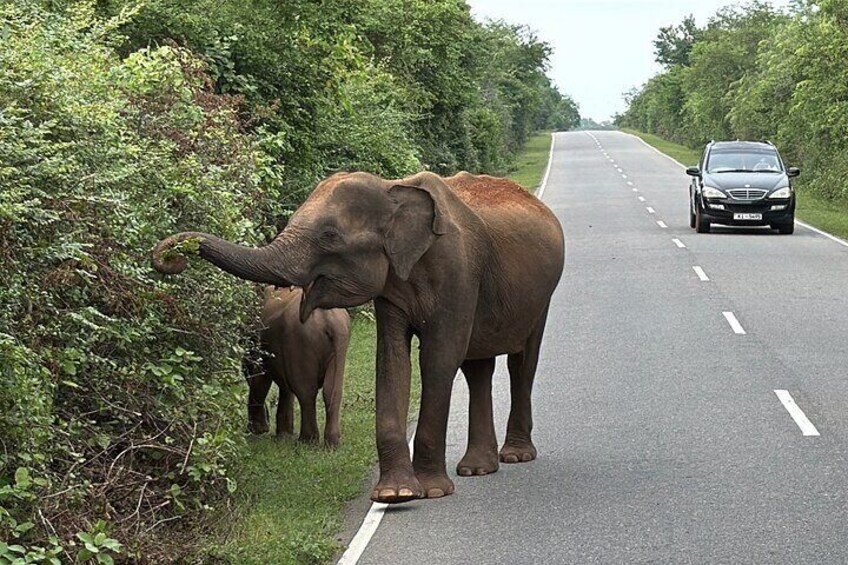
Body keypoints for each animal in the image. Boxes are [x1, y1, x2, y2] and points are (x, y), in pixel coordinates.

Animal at [243, 285, 350, 447]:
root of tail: (328, 319)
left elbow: (261, 376)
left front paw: (258, 431)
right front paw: (282, 435)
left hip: (301, 340)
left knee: (306, 390)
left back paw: (307, 441)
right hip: (340, 341)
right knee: (332, 390)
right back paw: (332, 444)